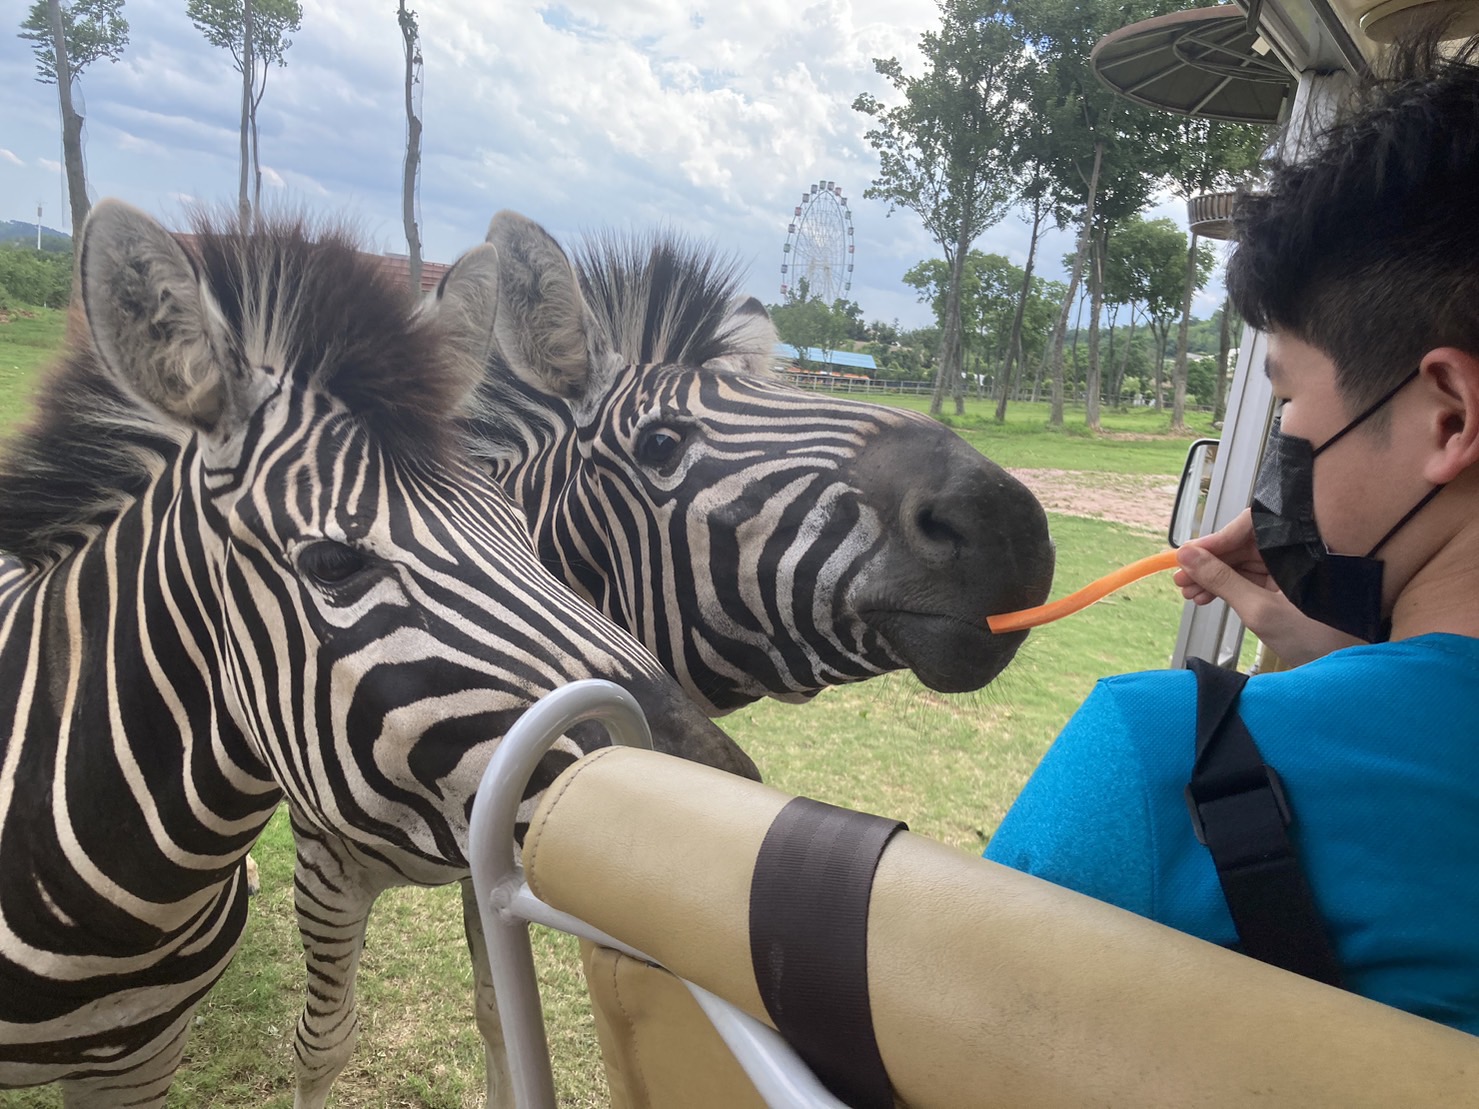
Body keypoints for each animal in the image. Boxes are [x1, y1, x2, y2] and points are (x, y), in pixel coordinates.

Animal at [286, 213, 1058, 1106]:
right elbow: (323, 1044)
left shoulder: (499, 854)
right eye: (660, 442)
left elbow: (496, 1016)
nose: (1006, 522)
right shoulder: (324, 864)